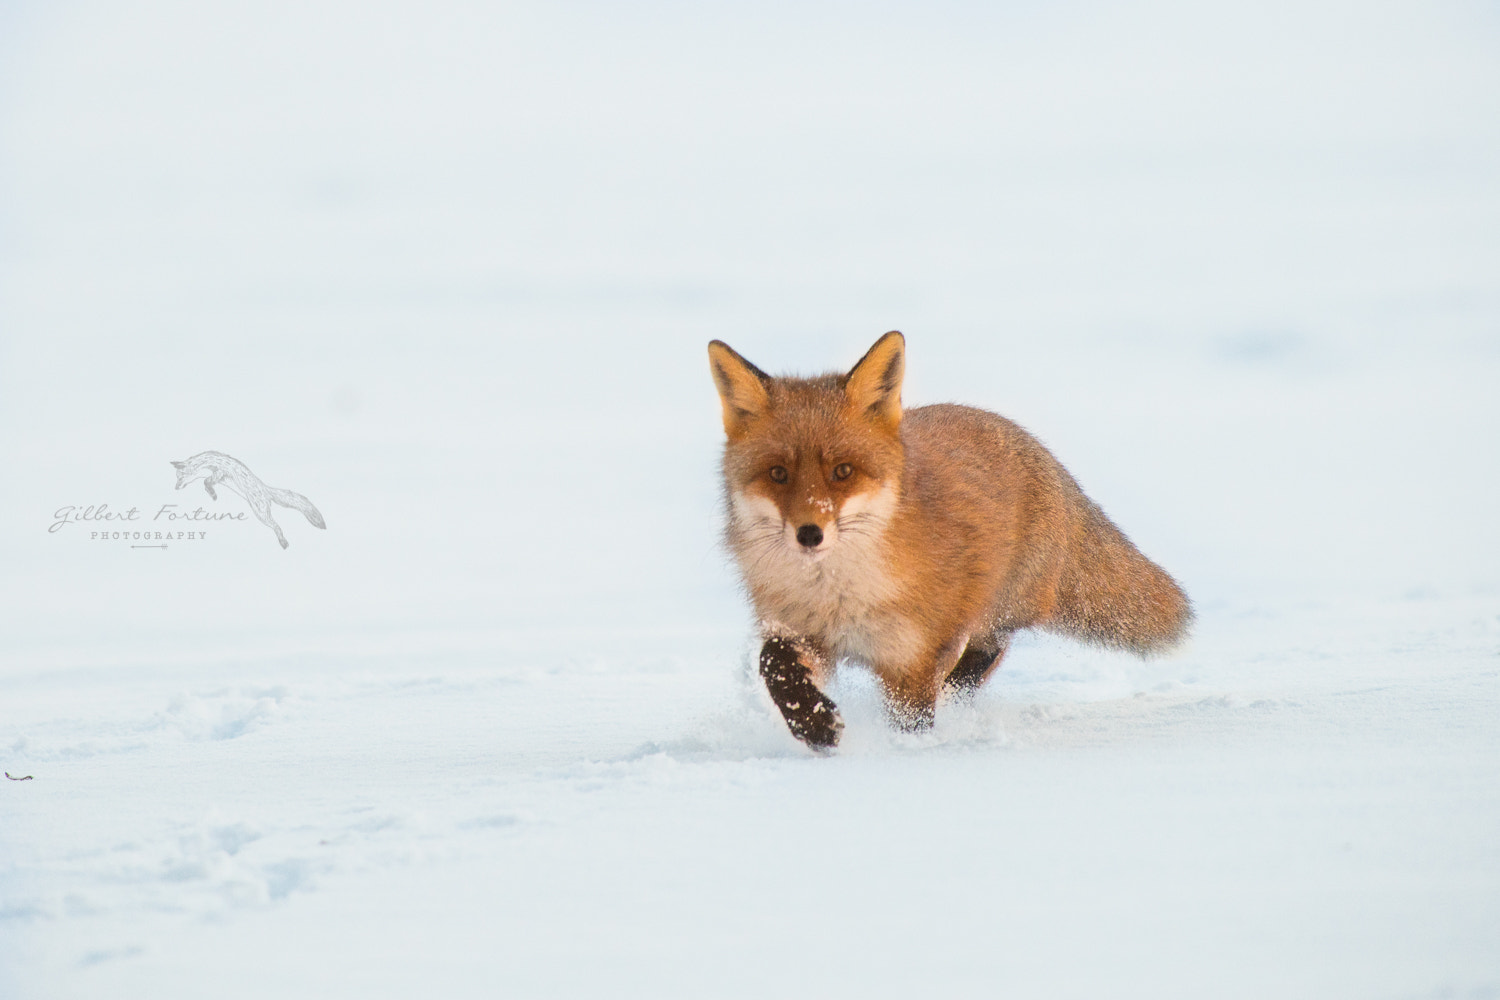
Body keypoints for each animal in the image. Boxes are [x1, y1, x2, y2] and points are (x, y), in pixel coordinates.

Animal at [708, 332, 1188, 746]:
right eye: (777, 474)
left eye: (842, 471)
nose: (810, 534)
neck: (838, 597)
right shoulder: (798, 630)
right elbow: (773, 665)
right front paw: (812, 723)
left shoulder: (912, 660)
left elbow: (912, 721)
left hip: (999, 607)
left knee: (987, 652)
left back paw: (957, 697)